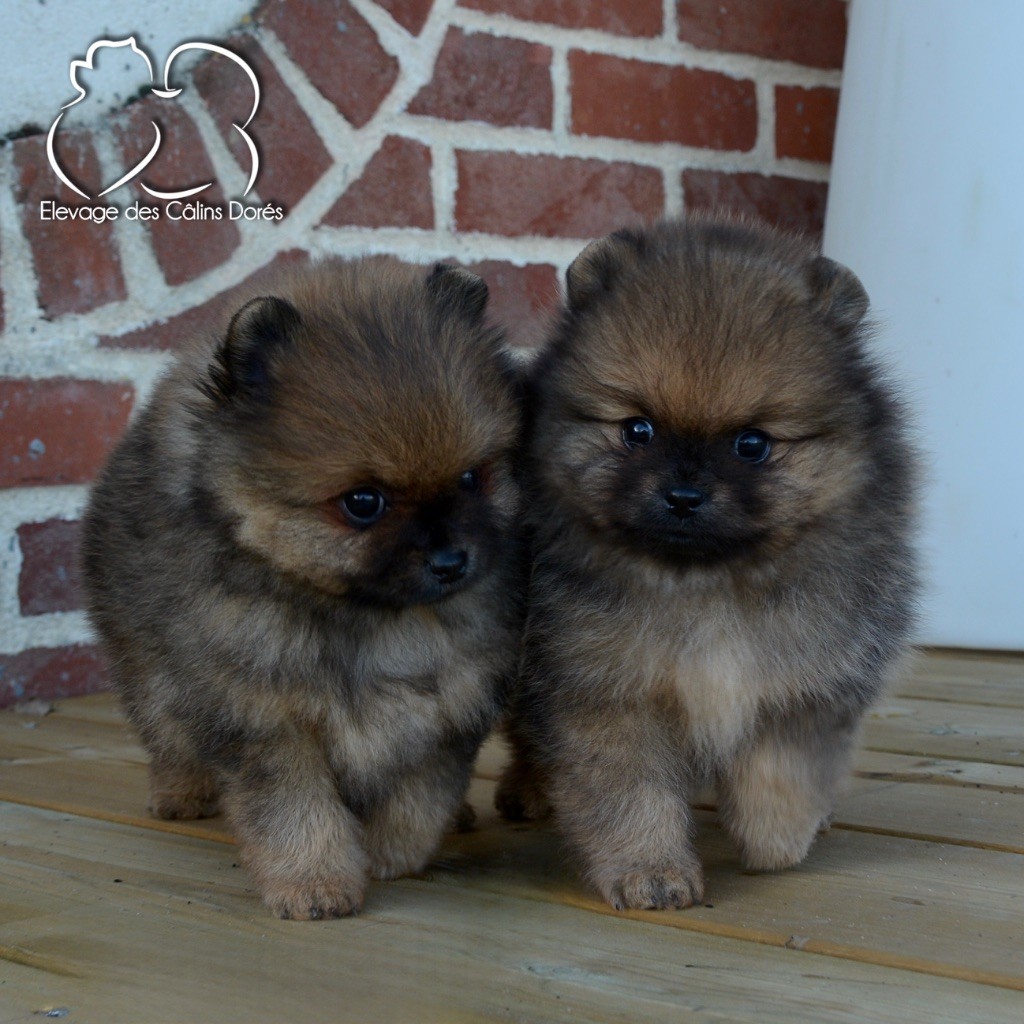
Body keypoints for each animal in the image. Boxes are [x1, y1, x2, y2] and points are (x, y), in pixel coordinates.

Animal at [80, 258, 524, 921]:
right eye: (363, 502)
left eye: (473, 478)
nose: (451, 560)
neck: (368, 617)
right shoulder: (264, 713)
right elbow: (294, 810)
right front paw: (312, 883)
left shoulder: (451, 702)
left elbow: (419, 794)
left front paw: (391, 855)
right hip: (144, 661)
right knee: (165, 729)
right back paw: (180, 791)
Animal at [499, 218, 925, 913]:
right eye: (638, 431)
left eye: (751, 444)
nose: (683, 495)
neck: (704, 584)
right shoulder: (603, 690)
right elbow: (628, 792)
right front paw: (649, 870)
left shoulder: (801, 681)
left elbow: (781, 773)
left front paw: (778, 841)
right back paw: (528, 789)